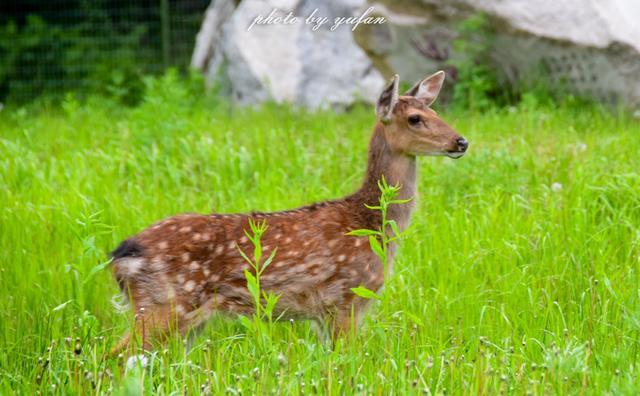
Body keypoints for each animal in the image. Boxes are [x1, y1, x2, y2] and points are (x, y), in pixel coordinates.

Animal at [110, 71, 468, 358]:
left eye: (434, 110)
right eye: (415, 118)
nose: (461, 141)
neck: (370, 225)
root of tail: (122, 254)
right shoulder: (346, 298)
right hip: (163, 304)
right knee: (114, 356)